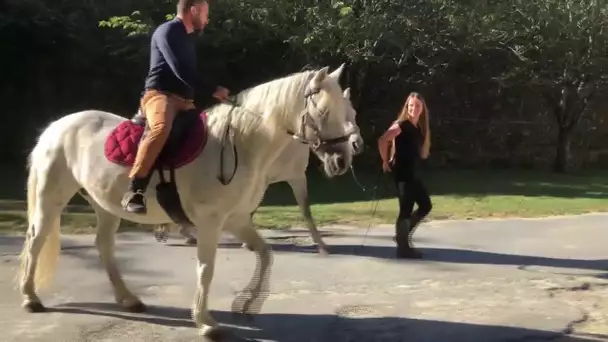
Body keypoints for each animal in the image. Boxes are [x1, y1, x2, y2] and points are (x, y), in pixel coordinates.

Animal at [158, 86, 366, 254]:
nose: (357, 145)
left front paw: (321, 244)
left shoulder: (295, 177)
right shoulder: (262, 178)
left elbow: (305, 209)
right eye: (334, 115)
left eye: (354, 113)